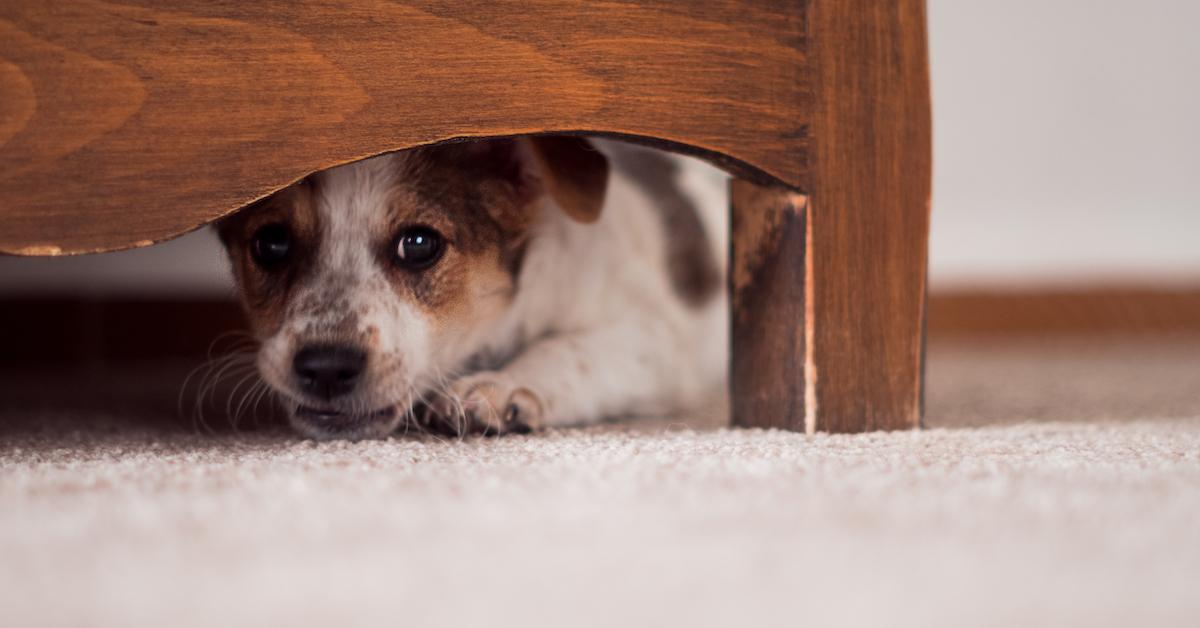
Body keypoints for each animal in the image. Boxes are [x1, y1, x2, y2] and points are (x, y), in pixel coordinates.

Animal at [219, 136, 724, 441]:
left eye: (419, 244)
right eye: (271, 243)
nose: (326, 367)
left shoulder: (653, 340)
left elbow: (569, 348)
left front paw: (501, 385)